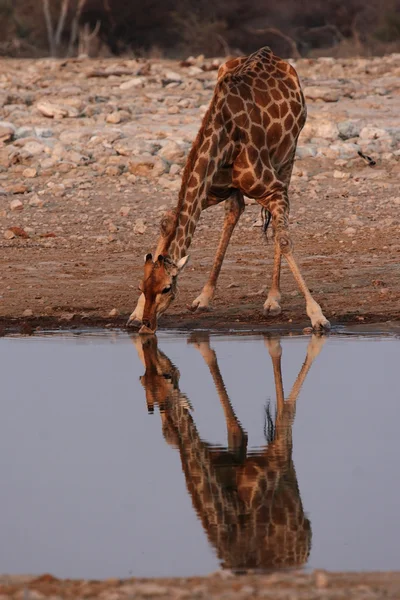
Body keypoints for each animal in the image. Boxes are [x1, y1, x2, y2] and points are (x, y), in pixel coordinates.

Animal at [129, 46, 332, 336]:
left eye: (167, 289)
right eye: (142, 287)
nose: (147, 326)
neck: (223, 138)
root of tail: (272, 53)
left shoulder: (275, 190)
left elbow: (284, 239)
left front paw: (317, 316)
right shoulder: (211, 189)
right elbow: (169, 219)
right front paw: (134, 313)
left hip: (288, 157)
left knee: (275, 225)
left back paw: (272, 300)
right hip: (234, 188)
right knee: (235, 211)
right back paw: (204, 297)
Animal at [133, 332, 326, 572]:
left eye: (166, 375)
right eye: (143, 379)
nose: (150, 348)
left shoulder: (276, 458)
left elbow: (285, 414)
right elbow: (236, 431)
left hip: (285, 466)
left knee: (284, 409)